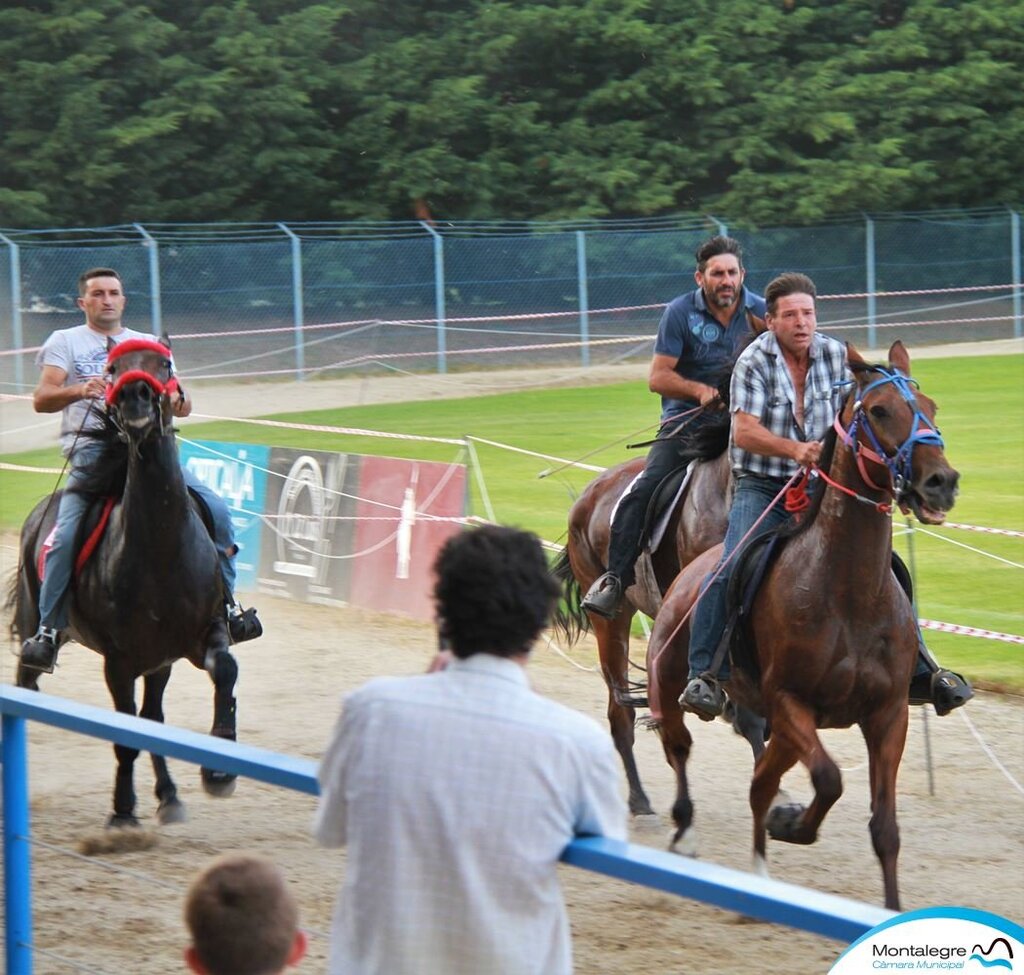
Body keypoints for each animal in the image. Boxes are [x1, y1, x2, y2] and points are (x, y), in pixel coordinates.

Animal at [647, 342, 958, 905]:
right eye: (879, 411)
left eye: (930, 406)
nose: (940, 482)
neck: (848, 594)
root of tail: (694, 569)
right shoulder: (791, 704)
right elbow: (830, 779)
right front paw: (792, 824)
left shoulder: (887, 715)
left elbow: (885, 829)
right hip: (673, 684)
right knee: (682, 749)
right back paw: (687, 834)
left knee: (760, 782)